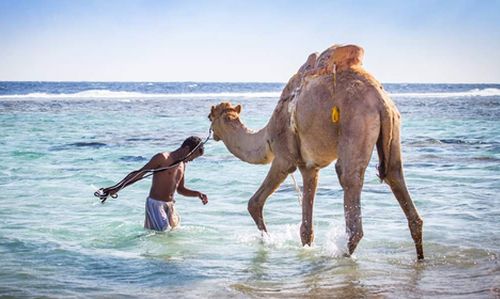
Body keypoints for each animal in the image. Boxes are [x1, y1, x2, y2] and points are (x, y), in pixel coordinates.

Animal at [207, 44, 422, 260]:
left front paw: (267, 239)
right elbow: (306, 230)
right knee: (395, 176)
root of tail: (381, 101)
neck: (266, 137)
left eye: (210, 117)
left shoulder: (284, 158)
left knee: (349, 181)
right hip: (393, 125)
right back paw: (419, 256)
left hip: (356, 121)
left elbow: (255, 202)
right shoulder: (310, 167)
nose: (211, 134)